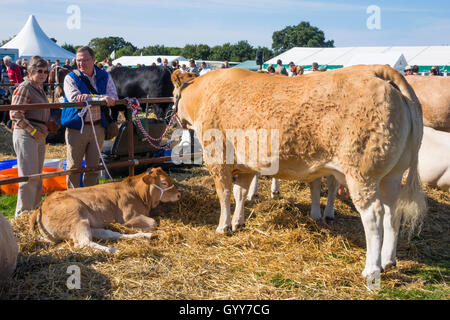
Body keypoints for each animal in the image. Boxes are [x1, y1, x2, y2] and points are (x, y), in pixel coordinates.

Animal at [28, 168, 181, 252]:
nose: (179, 195)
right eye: (164, 183)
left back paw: (147, 236)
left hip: (88, 224)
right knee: (83, 243)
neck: (138, 194)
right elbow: (153, 222)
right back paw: (114, 250)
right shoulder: (129, 216)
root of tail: (41, 206)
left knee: (111, 234)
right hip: (76, 218)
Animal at [171, 66, 426, 278]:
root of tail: (376, 70)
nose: (174, 120)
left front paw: (223, 226)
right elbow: (240, 194)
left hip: (362, 173)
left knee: (373, 214)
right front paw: (238, 222)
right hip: (392, 174)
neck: (206, 94)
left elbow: (224, 195)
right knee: (392, 212)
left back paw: (372, 269)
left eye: (173, 95)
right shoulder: (244, 165)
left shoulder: (217, 159)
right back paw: (388, 260)